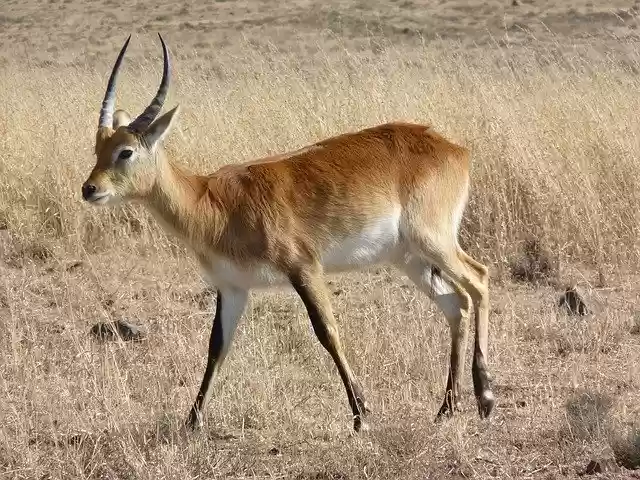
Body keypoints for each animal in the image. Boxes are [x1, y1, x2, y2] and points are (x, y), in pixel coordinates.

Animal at [81, 33, 495, 433]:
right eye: (98, 147)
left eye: (126, 151)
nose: (89, 189)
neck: (212, 202)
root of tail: (454, 148)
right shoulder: (232, 287)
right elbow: (217, 345)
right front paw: (192, 422)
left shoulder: (304, 267)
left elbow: (327, 331)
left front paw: (361, 414)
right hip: (409, 257)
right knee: (456, 303)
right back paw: (446, 408)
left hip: (434, 241)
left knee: (479, 279)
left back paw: (485, 399)